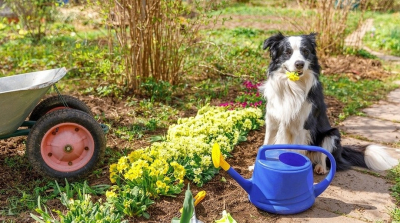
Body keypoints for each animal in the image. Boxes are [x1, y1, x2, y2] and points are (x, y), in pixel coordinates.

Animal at [260, 32, 398, 173]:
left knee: (327, 159)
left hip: (331, 134)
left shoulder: (303, 125)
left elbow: (296, 151)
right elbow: (266, 143)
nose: (299, 64)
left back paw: (320, 168)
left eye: (305, 51)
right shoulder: (272, 121)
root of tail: (341, 153)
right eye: (287, 52)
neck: (292, 86)